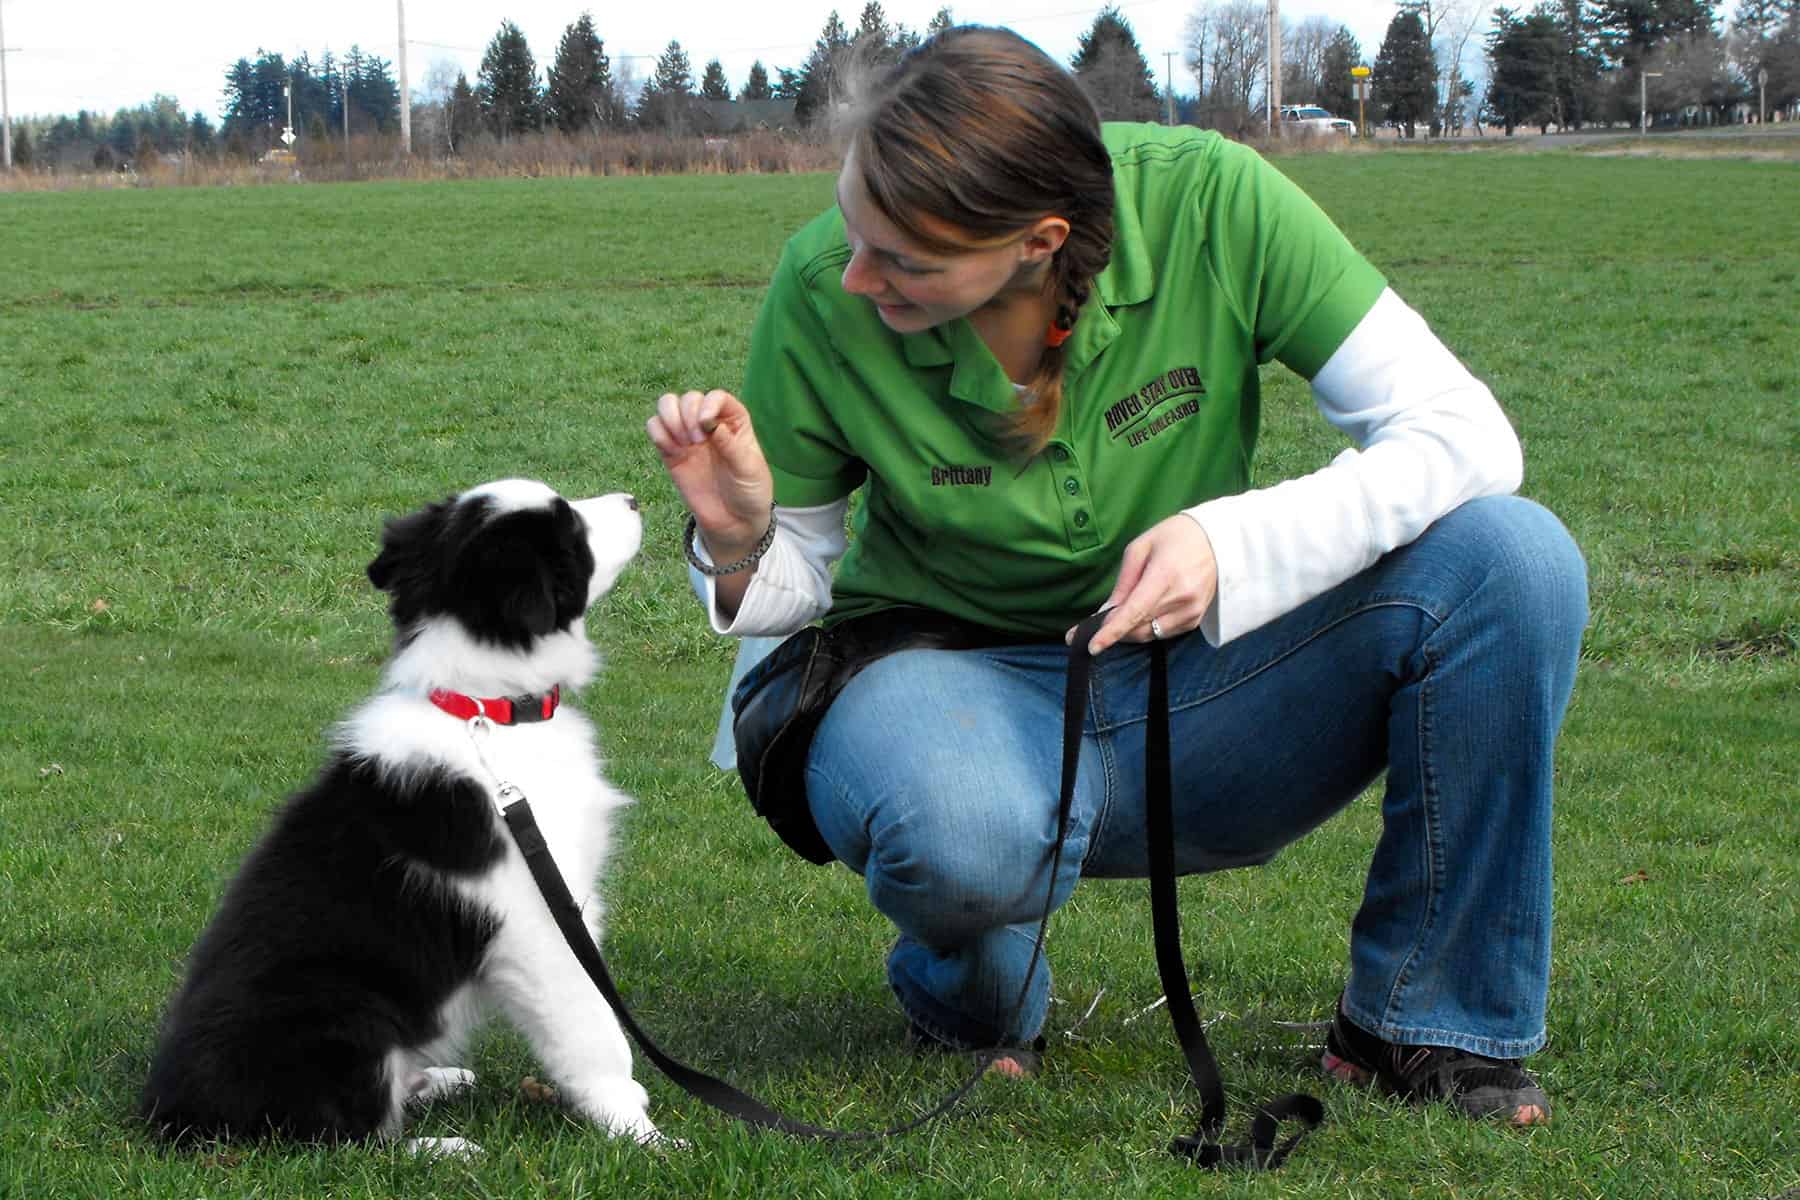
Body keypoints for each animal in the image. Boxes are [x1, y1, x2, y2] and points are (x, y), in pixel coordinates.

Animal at [142, 482, 662, 1151]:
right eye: (569, 526)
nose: (634, 499)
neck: (488, 710)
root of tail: (169, 1111)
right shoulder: (540, 919)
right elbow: (594, 1027)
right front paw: (639, 1132)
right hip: (348, 1014)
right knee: (345, 1139)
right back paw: (445, 1148)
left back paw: (436, 1081)